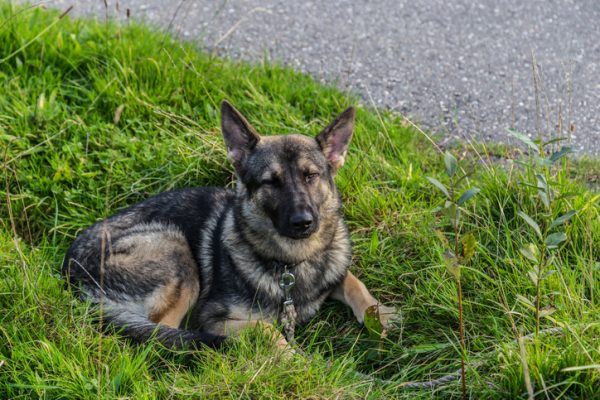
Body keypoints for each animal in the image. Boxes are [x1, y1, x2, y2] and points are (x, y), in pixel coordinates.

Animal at [63, 101, 394, 350]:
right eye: (270, 182)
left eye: (310, 176)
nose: (303, 223)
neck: (293, 262)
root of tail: (70, 270)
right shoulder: (213, 317)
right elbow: (266, 329)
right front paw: (296, 361)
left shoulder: (334, 269)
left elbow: (354, 282)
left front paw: (382, 318)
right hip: (175, 250)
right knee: (162, 332)